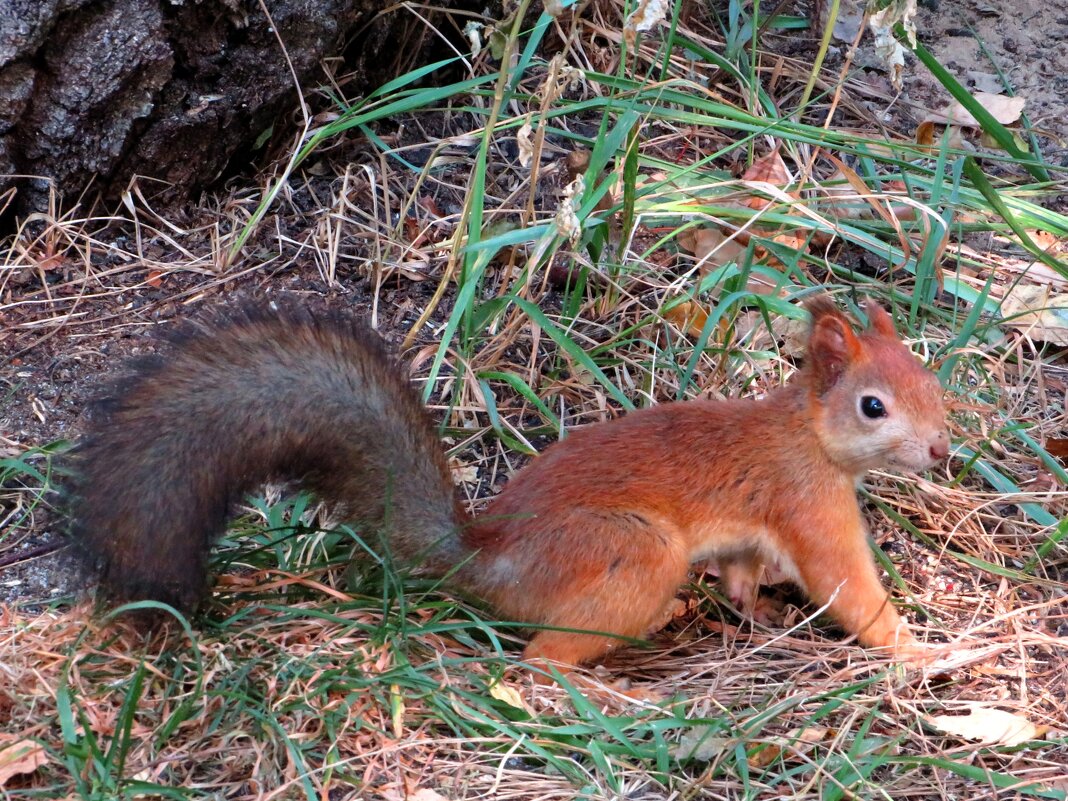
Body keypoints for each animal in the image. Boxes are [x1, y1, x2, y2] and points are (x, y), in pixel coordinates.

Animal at [68, 294, 952, 670]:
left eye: (930, 380)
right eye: (873, 405)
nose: (943, 451)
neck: (806, 431)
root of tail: (484, 558)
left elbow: (744, 569)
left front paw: (751, 603)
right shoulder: (809, 501)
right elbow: (848, 587)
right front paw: (923, 650)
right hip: (635, 552)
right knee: (540, 663)